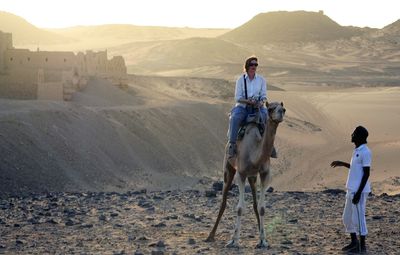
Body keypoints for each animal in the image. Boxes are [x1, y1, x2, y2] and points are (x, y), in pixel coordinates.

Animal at [206, 100, 284, 248]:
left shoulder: (265, 174)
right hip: (228, 168)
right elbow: (239, 208)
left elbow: (262, 207)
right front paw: (234, 240)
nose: (281, 112)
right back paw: (210, 236)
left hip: (252, 177)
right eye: (270, 108)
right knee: (223, 202)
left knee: (254, 203)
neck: (254, 152)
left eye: (283, 108)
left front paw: (263, 240)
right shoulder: (241, 174)